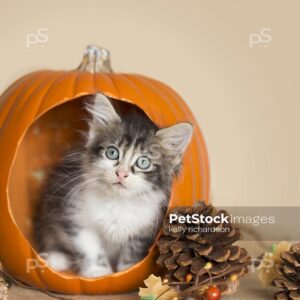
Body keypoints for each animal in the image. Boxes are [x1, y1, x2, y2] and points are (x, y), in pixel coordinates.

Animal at [34, 94, 193, 278]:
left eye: (143, 162)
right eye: (112, 153)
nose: (121, 173)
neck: (118, 201)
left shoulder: (144, 229)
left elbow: (132, 250)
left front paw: (127, 270)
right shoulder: (76, 216)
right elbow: (90, 248)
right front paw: (98, 272)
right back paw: (56, 258)